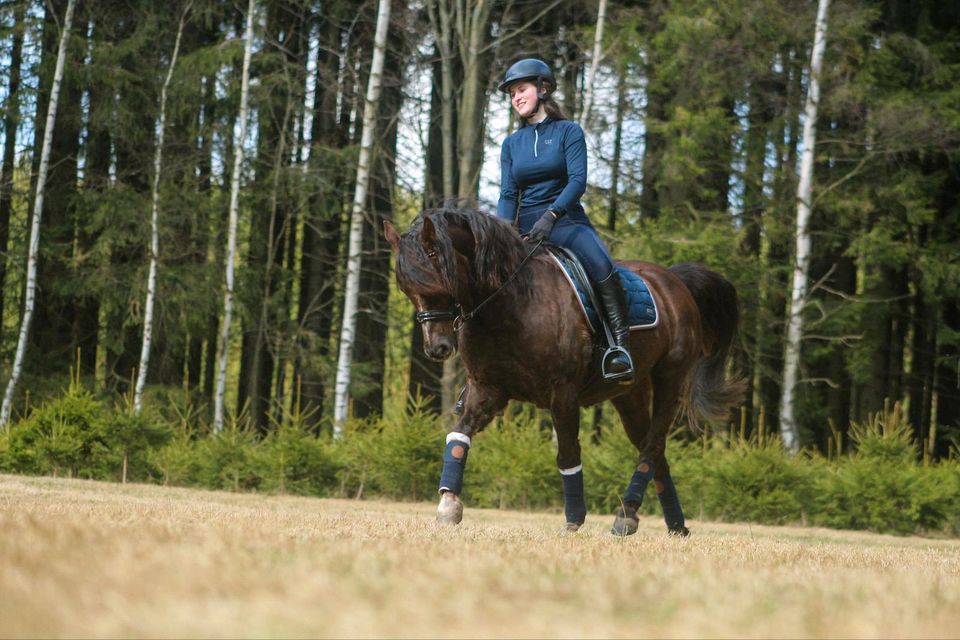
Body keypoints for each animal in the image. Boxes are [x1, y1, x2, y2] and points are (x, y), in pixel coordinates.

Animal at [382, 206, 744, 536]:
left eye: (438, 281)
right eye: (406, 289)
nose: (438, 348)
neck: (509, 304)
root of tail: (672, 280)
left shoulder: (563, 393)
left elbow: (568, 454)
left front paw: (574, 520)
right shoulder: (488, 389)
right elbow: (458, 437)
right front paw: (448, 506)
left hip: (671, 378)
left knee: (652, 446)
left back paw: (626, 514)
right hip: (630, 395)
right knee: (656, 452)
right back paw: (674, 525)